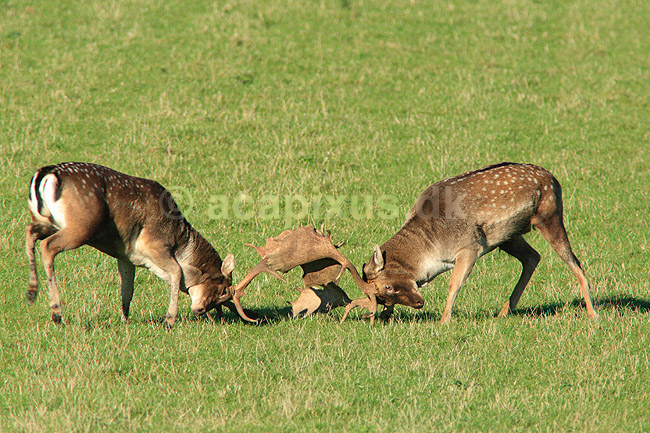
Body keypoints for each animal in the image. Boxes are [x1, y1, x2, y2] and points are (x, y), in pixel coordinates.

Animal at [25, 162, 272, 328]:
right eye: (221, 290)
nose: (200, 309)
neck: (179, 239)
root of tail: (46, 174)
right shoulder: (154, 245)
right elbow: (177, 273)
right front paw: (169, 320)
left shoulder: (126, 256)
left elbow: (127, 289)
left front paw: (124, 320)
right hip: (81, 226)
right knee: (47, 246)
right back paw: (56, 311)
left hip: (46, 220)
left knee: (30, 233)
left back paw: (32, 293)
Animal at [341, 162, 598, 323]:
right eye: (382, 296)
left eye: (386, 287)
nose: (419, 303)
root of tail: (554, 179)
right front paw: (386, 316)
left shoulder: (469, 247)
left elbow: (454, 284)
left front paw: (444, 320)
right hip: (508, 235)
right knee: (533, 257)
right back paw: (504, 311)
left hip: (549, 216)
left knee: (576, 264)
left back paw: (593, 314)